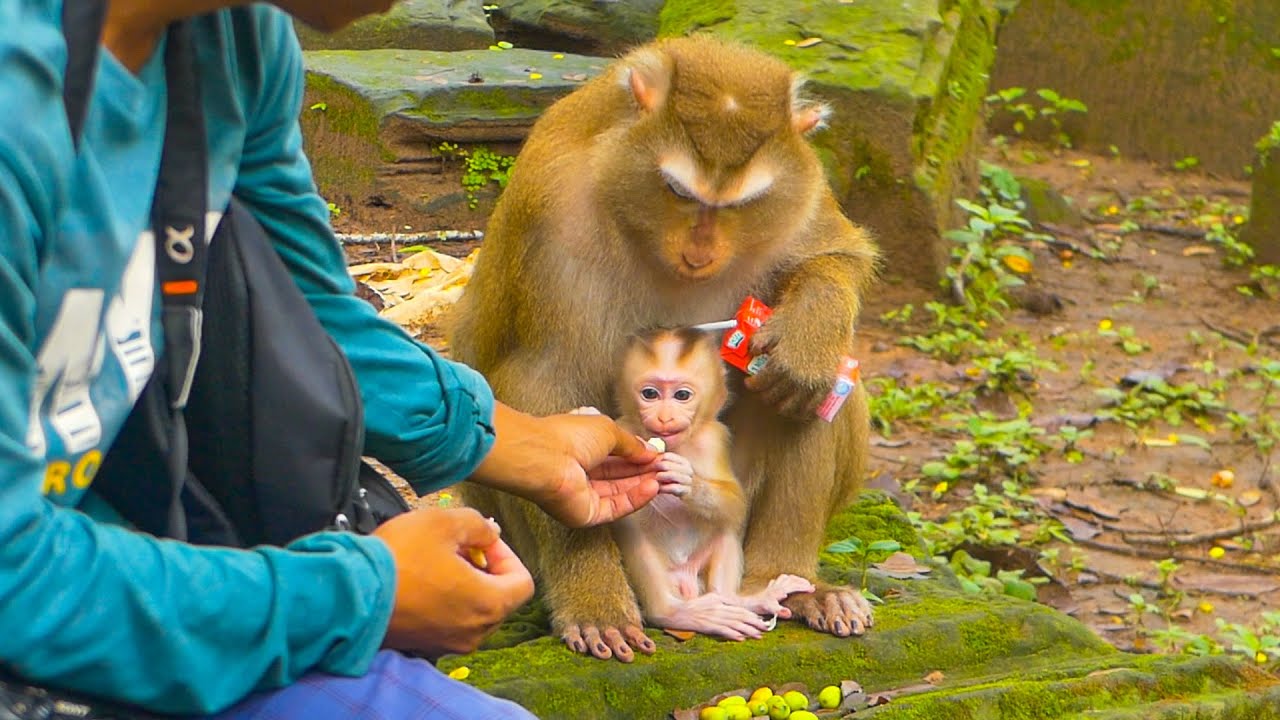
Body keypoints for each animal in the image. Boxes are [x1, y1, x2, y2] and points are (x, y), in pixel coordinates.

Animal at [591, 327, 815, 640]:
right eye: (650, 394)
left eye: (682, 395)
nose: (664, 418)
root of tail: (686, 582)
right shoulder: (624, 429)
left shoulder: (714, 438)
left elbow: (735, 500)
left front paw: (686, 481)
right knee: (639, 545)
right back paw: (677, 613)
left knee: (725, 526)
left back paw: (741, 600)